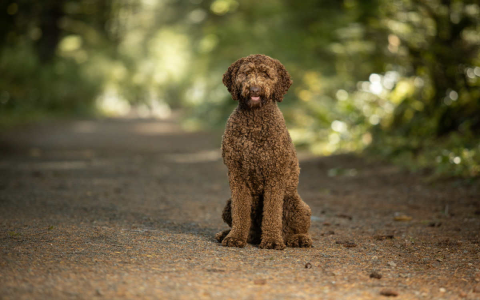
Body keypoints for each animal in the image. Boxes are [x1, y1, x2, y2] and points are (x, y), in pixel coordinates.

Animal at [216, 54, 314, 251]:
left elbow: (272, 212)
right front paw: (235, 237)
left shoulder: (275, 176)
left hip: (295, 204)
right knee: (248, 225)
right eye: (246, 73)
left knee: (293, 228)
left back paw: (298, 238)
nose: (254, 88)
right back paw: (232, 234)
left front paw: (272, 241)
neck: (255, 120)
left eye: (266, 75)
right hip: (228, 205)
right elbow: (241, 211)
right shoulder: (236, 174)